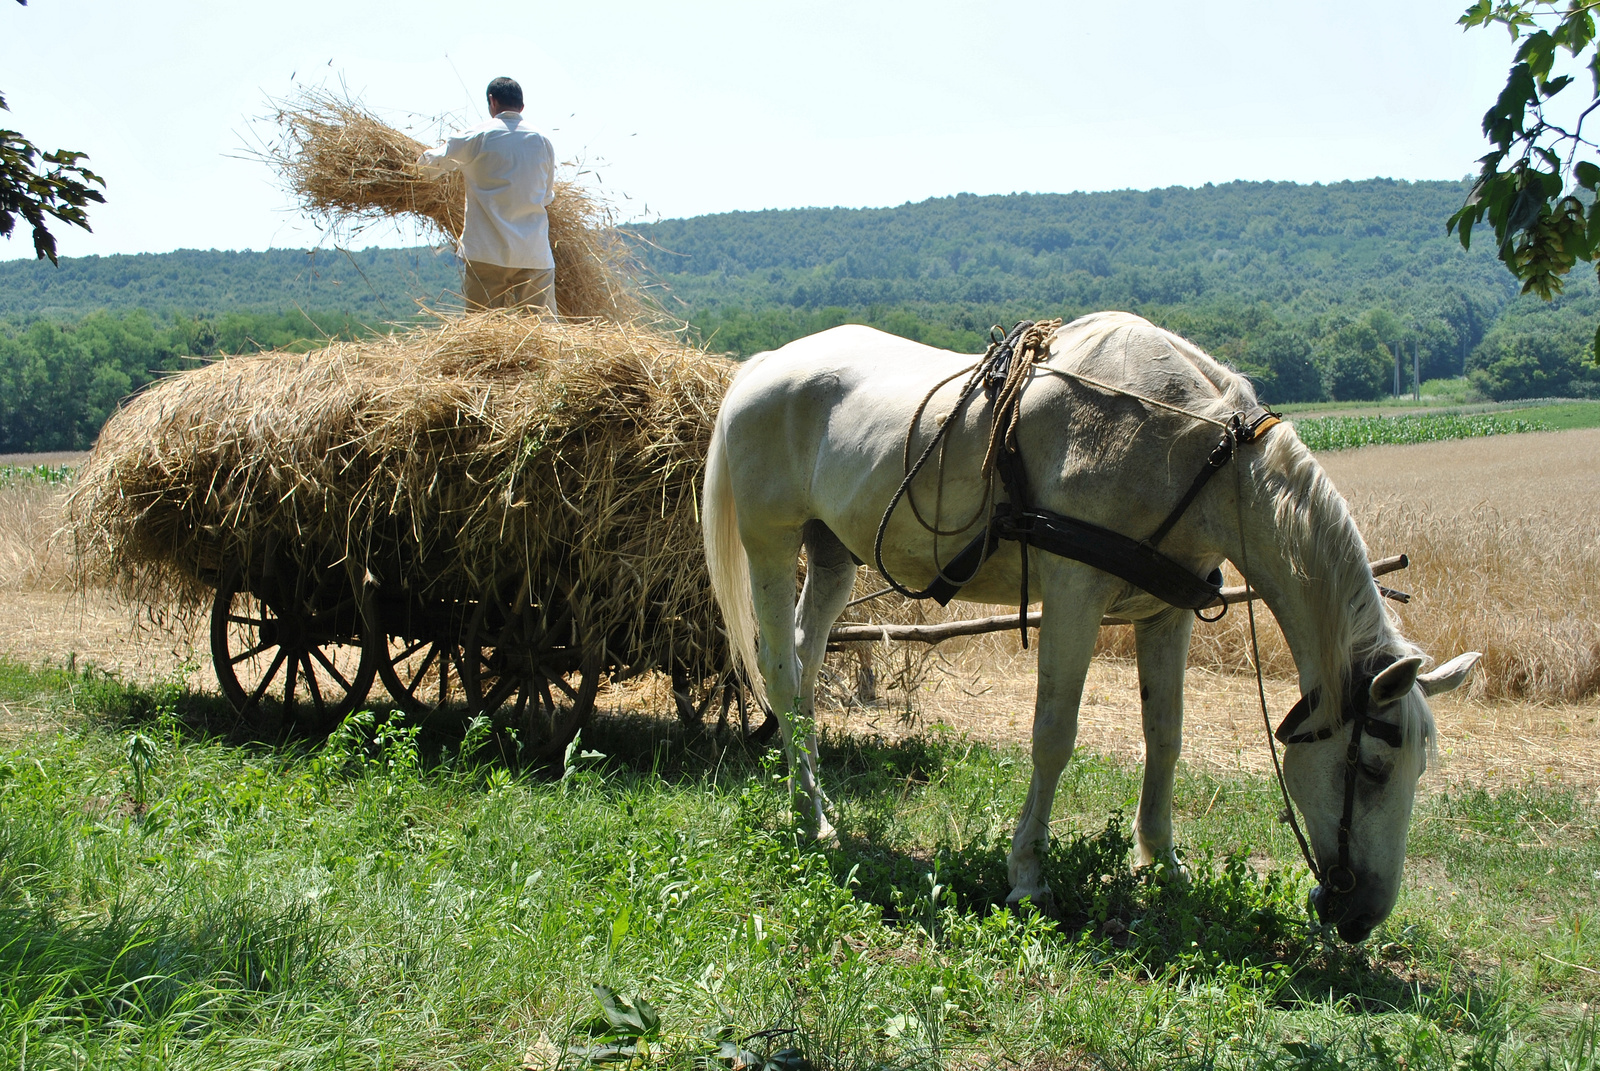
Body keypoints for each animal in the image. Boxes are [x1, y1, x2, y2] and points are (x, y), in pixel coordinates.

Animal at [707, 308, 1478, 934]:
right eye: (1372, 766)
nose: (1362, 915)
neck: (1188, 450)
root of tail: (762, 367)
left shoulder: (1167, 614)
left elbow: (1165, 735)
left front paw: (1163, 860)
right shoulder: (1073, 595)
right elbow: (1053, 735)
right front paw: (1027, 875)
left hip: (832, 555)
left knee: (805, 669)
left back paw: (810, 797)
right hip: (770, 543)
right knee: (780, 673)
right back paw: (812, 820)